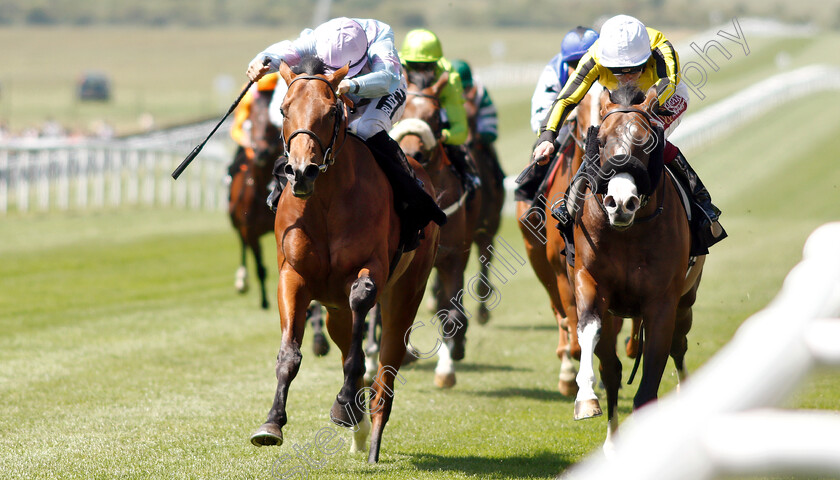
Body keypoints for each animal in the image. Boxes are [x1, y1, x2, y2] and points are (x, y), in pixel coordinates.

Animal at [251, 57, 440, 464]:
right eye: (283, 109)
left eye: (332, 111)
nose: (301, 171)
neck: (324, 201)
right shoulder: (293, 276)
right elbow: (289, 354)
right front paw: (272, 424)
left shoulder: (372, 270)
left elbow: (359, 334)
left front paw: (343, 405)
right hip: (334, 306)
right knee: (343, 338)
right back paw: (358, 422)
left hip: (407, 290)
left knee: (386, 368)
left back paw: (370, 436)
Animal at [390, 72, 482, 390]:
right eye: (402, 111)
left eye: (433, 115)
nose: (412, 151)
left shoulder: (453, 256)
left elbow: (451, 314)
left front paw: (446, 368)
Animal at [564, 86, 704, 450]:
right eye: (601, 142)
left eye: (647, 143)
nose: (621, 202)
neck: (629, 232)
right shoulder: (590, 282)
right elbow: (590, 332)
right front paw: (585, 398)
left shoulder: (662, 301)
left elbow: (648, 389)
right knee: (612, 370)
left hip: (686, 301)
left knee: (679, 346)